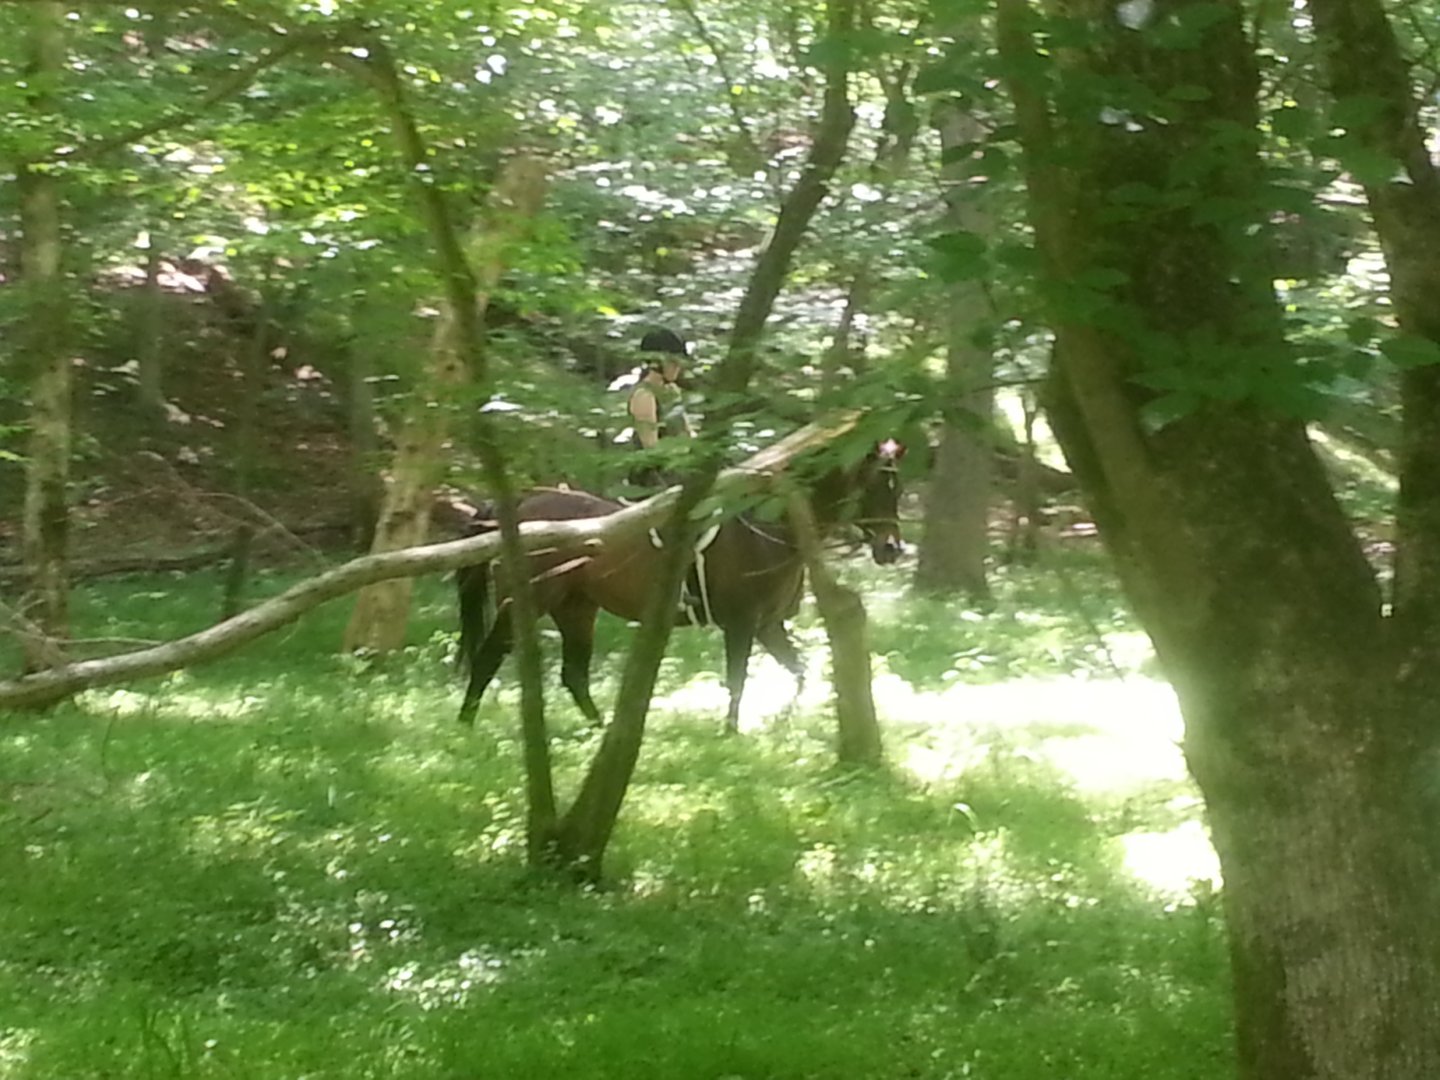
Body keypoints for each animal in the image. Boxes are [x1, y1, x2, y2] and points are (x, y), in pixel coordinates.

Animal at [455, 440, 904, 737]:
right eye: (875, 487)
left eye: (896, 488)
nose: (892, 549)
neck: (771, 529)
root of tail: (515, 510)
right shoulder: (742, 625)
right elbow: (737, 680)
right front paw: (730, 735)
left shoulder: (768, 626)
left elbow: (798, 674)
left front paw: (779, 724)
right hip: (526, 601)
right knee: (489, 657)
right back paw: (465, 727)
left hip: (576, 607)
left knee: (573, 674)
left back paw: (601, 732)